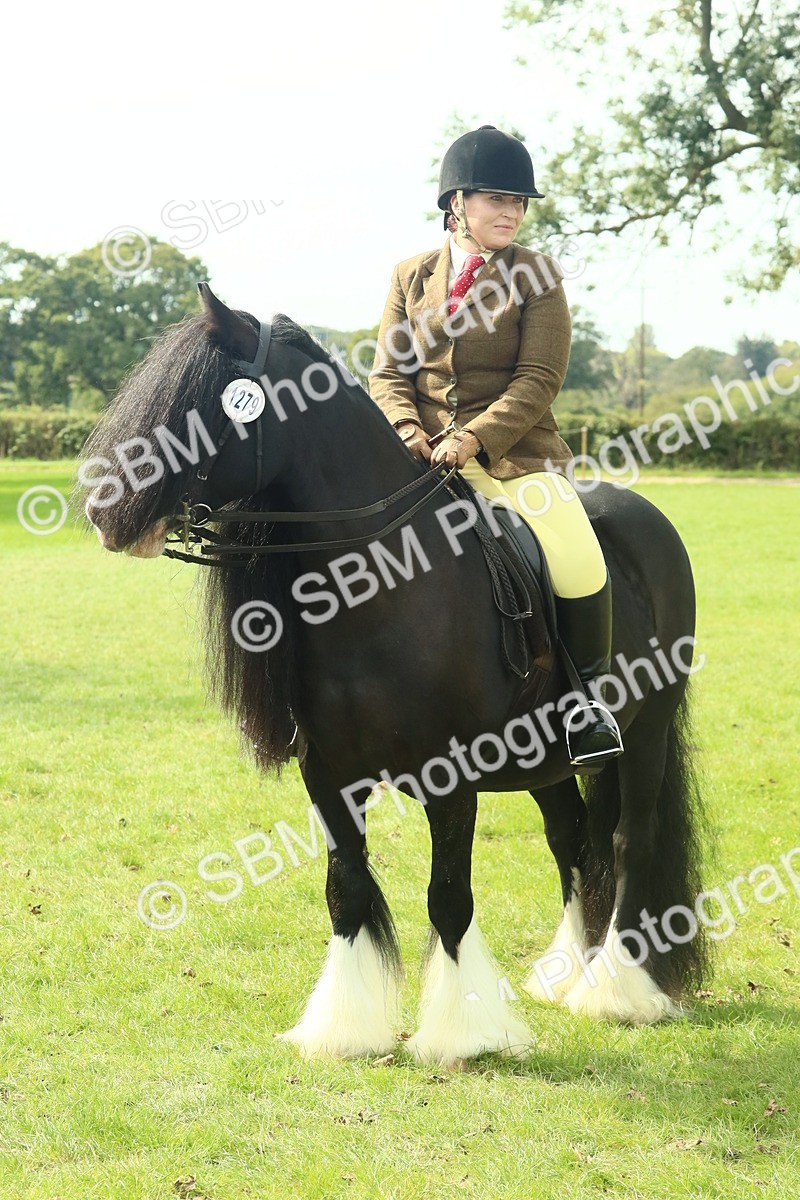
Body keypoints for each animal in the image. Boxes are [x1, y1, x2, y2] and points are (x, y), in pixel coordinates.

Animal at [80, 282, 708, 1067]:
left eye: (197, 401)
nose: (101, 510)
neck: (382, 584)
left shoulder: (452, 776)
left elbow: (449, 898)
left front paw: (466, 1035)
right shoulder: (327, 773)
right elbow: (346, 889)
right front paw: (343, 1029)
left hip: (646, 730)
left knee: (628, 840)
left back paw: (617, 990)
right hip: (548, 759)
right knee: (573, 841)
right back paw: (567, 973)